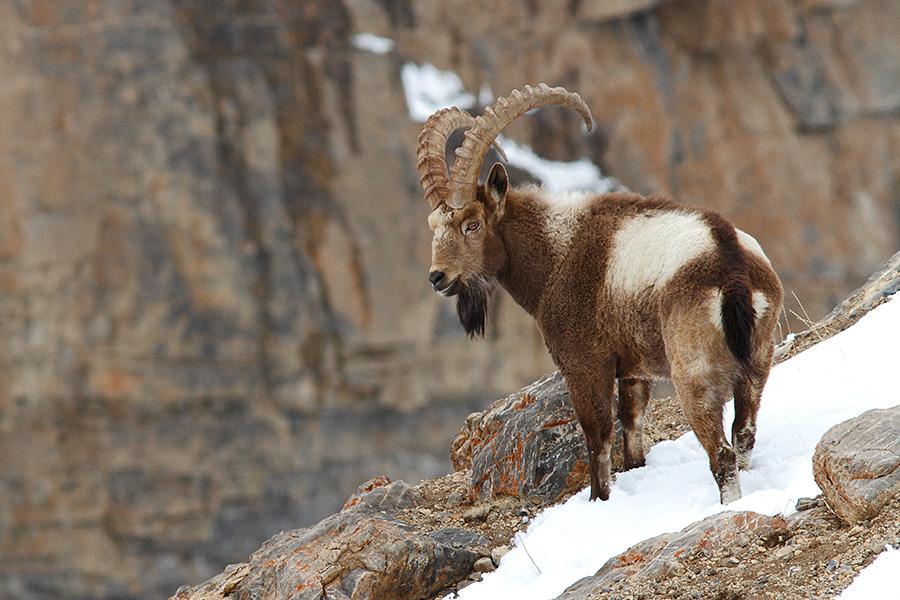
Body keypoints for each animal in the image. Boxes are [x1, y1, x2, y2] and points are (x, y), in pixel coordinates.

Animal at [418, 84, 784, 504]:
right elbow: (632, 426)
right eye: (434, 225)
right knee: (744, 434)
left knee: (722, 453)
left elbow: (598, 437)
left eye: (472, 224)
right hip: (758, 360)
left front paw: (598, 500)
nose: (438, 277)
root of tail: (732, 266)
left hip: (694, 372)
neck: (557, 249)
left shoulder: (585, 363)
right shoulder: (633, 367)